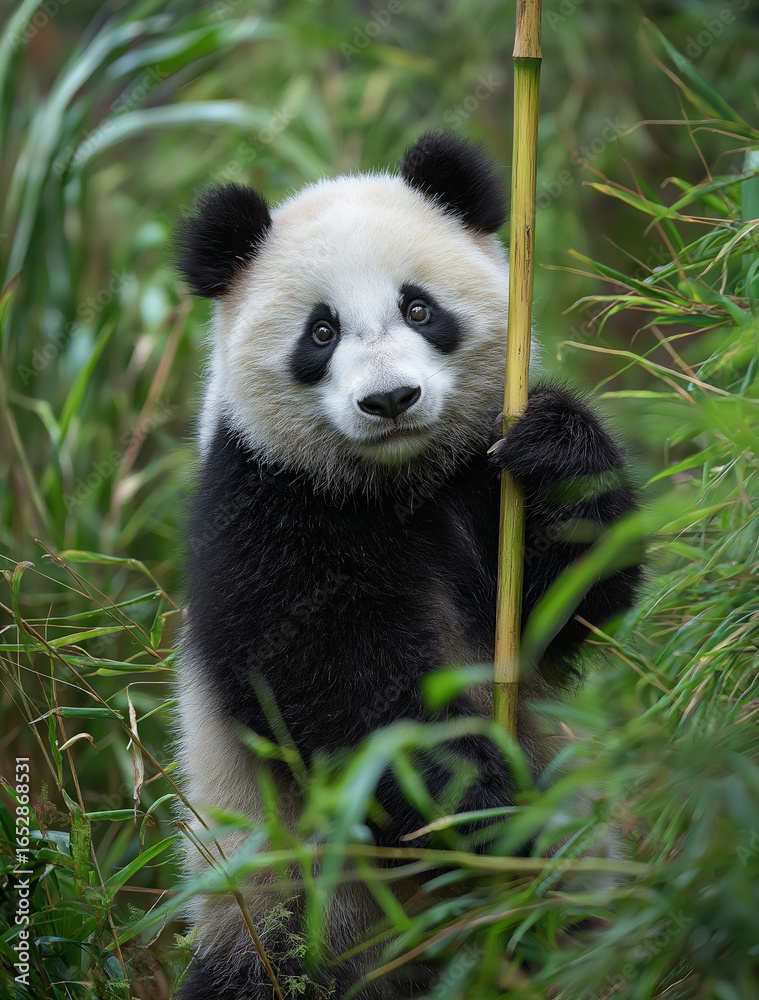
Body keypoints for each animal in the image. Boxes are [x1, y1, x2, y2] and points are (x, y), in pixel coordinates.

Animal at [174, 132, 640, 1000]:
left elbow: (570, 607)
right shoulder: (263, 503)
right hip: (280, 921)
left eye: (419, 308)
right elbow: (343, 686)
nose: (389, 399)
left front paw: (556, 446)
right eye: (320, 333)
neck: (397, 481)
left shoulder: (477, 478)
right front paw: (488, 814)